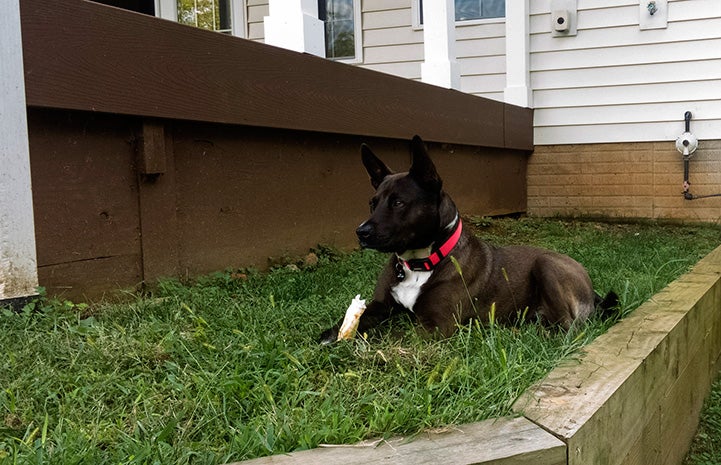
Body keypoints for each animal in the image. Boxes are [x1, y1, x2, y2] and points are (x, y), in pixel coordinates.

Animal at [318, 136, 616, 342]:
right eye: (372, 203)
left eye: (399, 203)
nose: (361, 232)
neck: (422, 262)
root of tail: (592, 289)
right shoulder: (381, 305)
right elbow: (359, 319)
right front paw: (332, 334)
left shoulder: (436, 326)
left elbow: (395, 335)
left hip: (547, 265)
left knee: (568, 327)